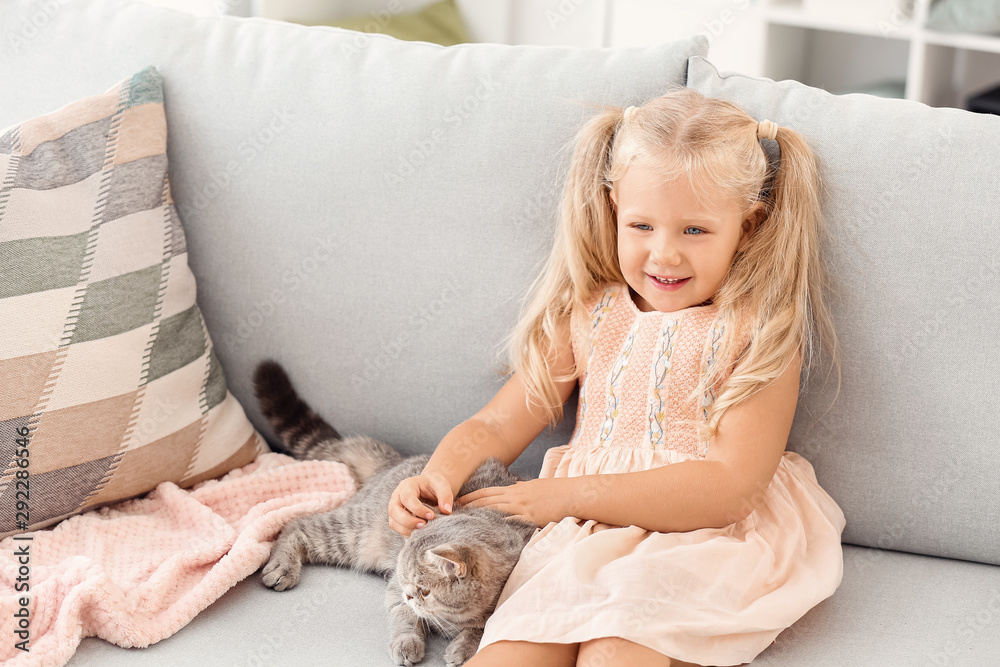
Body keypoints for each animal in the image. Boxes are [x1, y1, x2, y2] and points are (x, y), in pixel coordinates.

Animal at [254, 362, 536, 664]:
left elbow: (485, 627)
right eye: (407, 581)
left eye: (424, 590)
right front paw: (407, 641)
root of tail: (394, 462)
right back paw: (282, 567)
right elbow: (403, 615)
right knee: (296, 524)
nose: (410, 594)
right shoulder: (395, 589)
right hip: (352, 533)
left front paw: (465, 646)